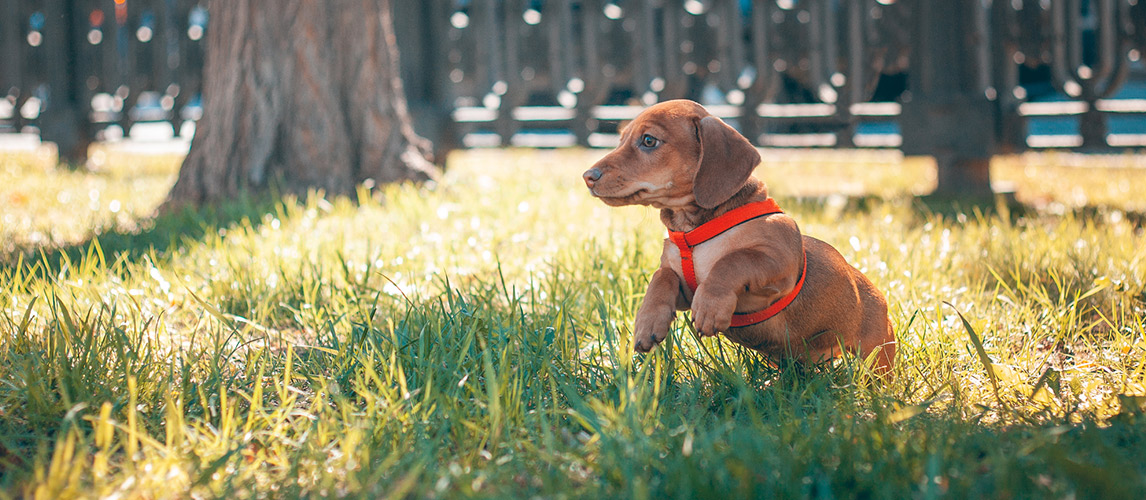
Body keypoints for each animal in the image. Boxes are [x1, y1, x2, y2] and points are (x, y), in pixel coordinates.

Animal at [582, 99, 893, 373]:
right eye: (621, 139)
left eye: (648, 140)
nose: (588, 176)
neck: (693, 230)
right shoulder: (683, 287)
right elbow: (661, 277)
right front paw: (647, 323)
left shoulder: (777, 263)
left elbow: (732, 261)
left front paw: (710, 307)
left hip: (877, 351)